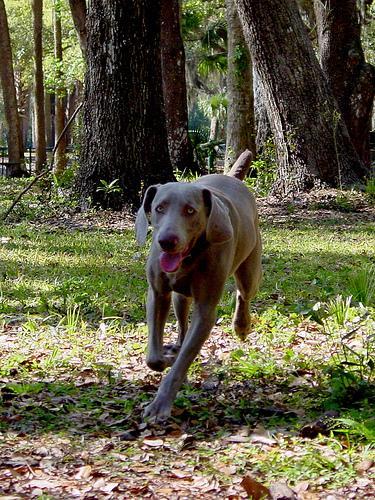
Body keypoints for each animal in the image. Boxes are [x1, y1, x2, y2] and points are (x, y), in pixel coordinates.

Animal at [137, 168, 262, 422]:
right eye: (159, 208)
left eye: (190, 210)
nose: (167, 241)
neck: (190, 257)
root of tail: (230, 177)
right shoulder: (157, 293)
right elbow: (153, 356)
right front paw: (165, 358)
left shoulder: (206, 310)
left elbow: (185, 359)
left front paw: (160, 405)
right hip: (180, 296)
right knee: (182, 322)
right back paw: (176, 346)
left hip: (251, 266)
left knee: (244, 293)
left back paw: (241, 325)